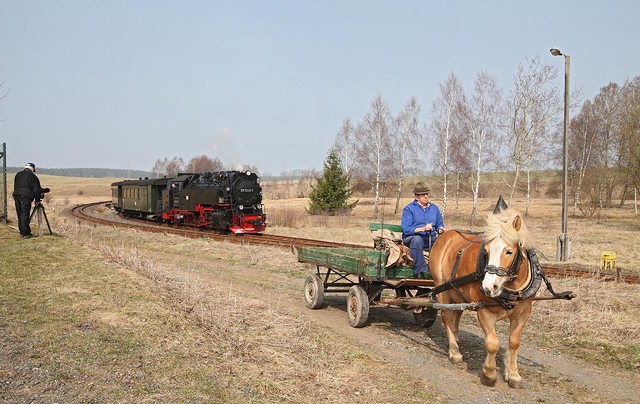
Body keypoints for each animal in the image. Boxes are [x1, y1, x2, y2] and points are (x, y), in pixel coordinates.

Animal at [428, 207, 536, 386]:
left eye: (509, 251)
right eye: (486, 251)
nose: (488, 287)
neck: (510, 287)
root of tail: (445, 235)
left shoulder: (523, 313)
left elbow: (514, 343)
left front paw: (513, 374)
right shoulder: (485, 311)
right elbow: (492, 343)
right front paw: (489, 374)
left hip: (457, 291)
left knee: (457, 312)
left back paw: (455, 338)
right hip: (441, 287)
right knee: (447, 317)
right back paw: (454, 352)